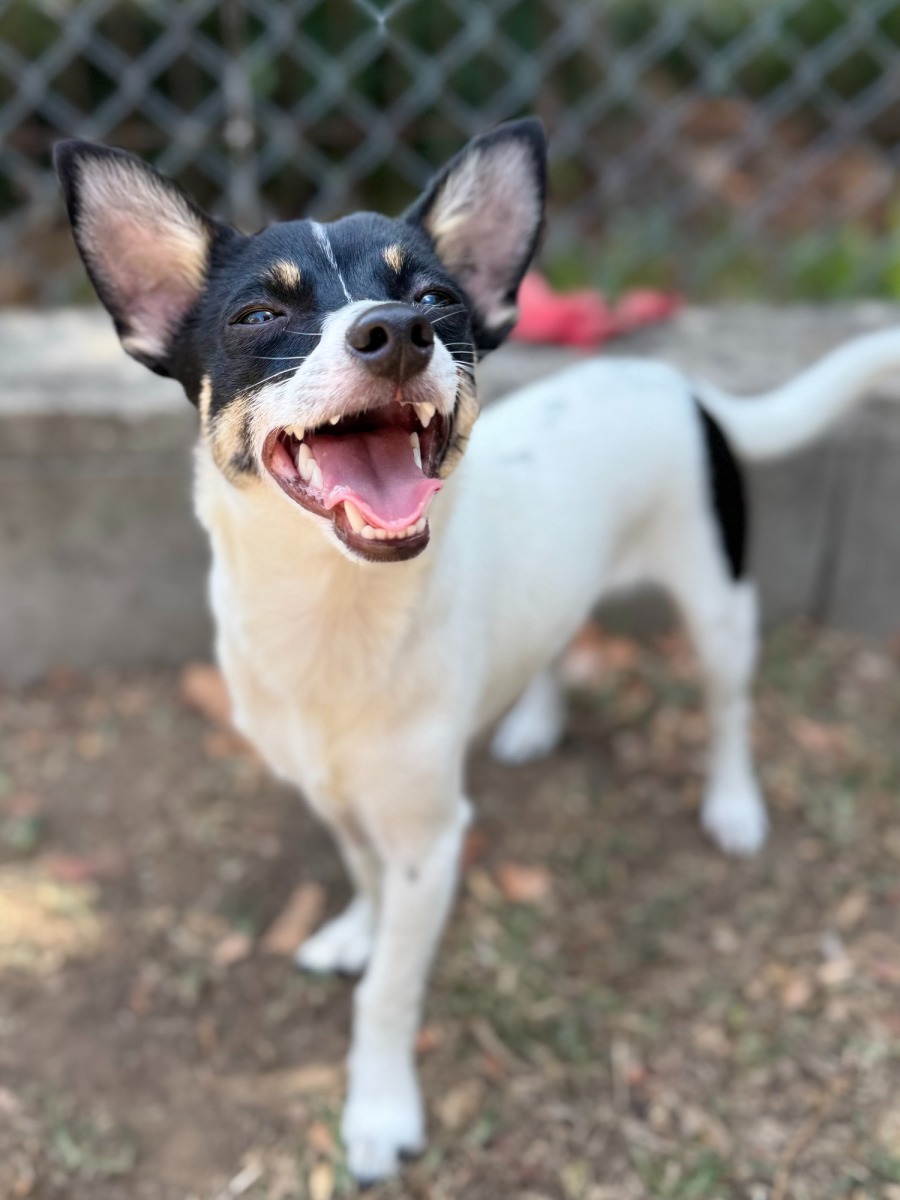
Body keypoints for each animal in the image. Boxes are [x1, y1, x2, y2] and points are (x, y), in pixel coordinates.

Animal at [55, 119, 900, 1181]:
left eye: (434, 300)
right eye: (258, 313)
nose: (394, 331)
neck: (330, 615)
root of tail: (679, 381)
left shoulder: (430, 838)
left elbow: (388, 993)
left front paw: (378, 1110)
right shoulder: (336, 797)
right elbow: (364, 881)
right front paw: (358, 930)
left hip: (719, 607)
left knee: (730, 709)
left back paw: (734, 804)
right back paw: (535, 724)